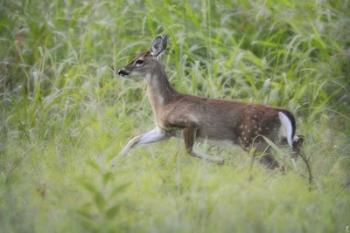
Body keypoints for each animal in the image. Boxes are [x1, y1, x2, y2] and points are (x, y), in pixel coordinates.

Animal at [116, 34, 302, 168]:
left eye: (139, 61)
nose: (121, 71)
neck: (166, 103)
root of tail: (281, 112)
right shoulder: (164, 131)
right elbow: (134, 140)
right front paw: (115, 162)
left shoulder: (189, 124)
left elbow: (189, 150)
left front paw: (220, 160)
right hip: (275, 139)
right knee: (296, 149)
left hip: (253, 140)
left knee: (279, 167)